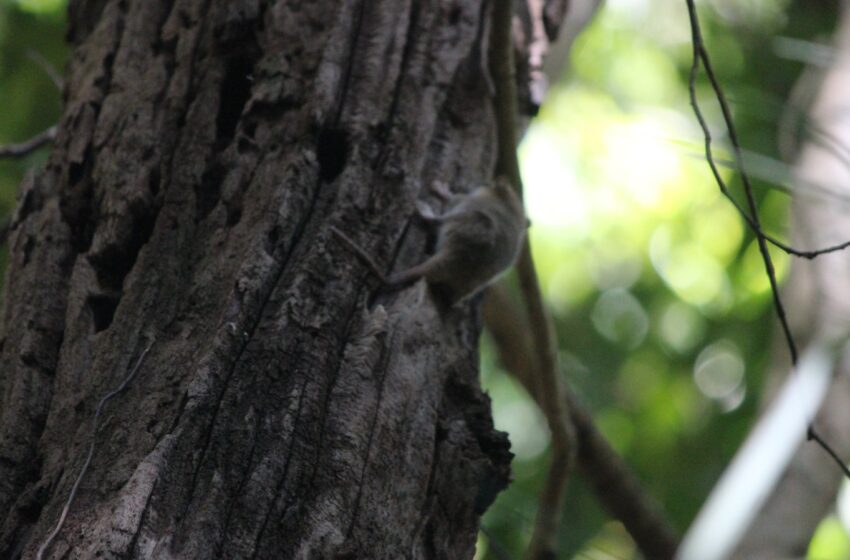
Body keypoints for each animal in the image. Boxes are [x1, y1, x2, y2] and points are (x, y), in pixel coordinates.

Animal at [330, 176, 524, 304]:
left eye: (487, 184)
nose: (483, 182)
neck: (510, 204)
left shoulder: (461, 199)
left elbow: (449, 198)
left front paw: (439, 188)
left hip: (462, 219)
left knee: (434, 222)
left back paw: (422, 208)